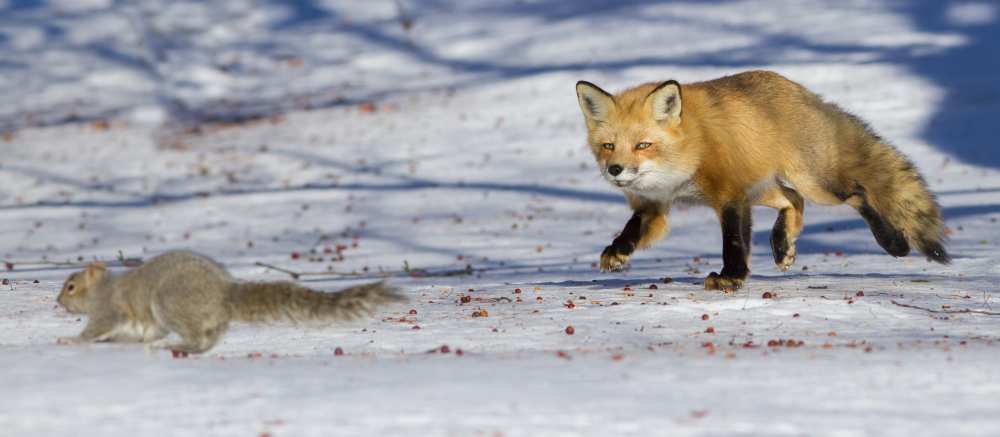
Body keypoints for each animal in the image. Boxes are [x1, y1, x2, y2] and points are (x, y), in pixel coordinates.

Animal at [56, 250, 402, 352]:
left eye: (71, 286)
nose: (58, 301)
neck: (103, 289)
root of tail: (222, 293)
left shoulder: (109, 310)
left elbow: (98, 327)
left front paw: (71, 339)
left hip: (169, 302)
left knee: (197, 338)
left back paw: (175, 345)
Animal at [576, 70, 948, 290]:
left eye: (643, 145)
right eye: (608, 146)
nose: (615, 170)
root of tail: (801, 89)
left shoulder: (729, 194)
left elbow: (733, 241)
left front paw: (730, 277)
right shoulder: (656, 205)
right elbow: (632, 230)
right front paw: (616, 253)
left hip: (814, 182)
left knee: (856, 193)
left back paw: (892, 242)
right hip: (763, 189)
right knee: (793, 200)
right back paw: (783, 245)